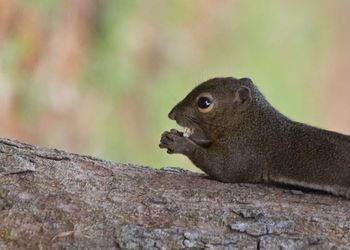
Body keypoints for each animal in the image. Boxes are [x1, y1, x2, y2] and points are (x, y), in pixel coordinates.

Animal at [159, 77, 350, 198]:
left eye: (204, 102)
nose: (171, 114)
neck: (250, 123)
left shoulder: (245, 153)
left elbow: (221, 169)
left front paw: (179, 143)